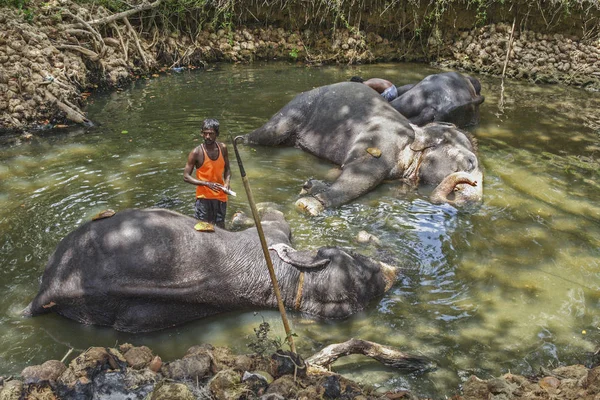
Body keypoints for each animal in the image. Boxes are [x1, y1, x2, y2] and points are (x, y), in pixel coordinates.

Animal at [243, 81, 482, 217]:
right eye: (471, 162)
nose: (473, 183)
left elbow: (340, 171)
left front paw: (311, 187)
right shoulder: (381, 139)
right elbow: (363, 174)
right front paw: (310, 205)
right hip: (296, 109)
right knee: (268, 134)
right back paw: (241, 141)